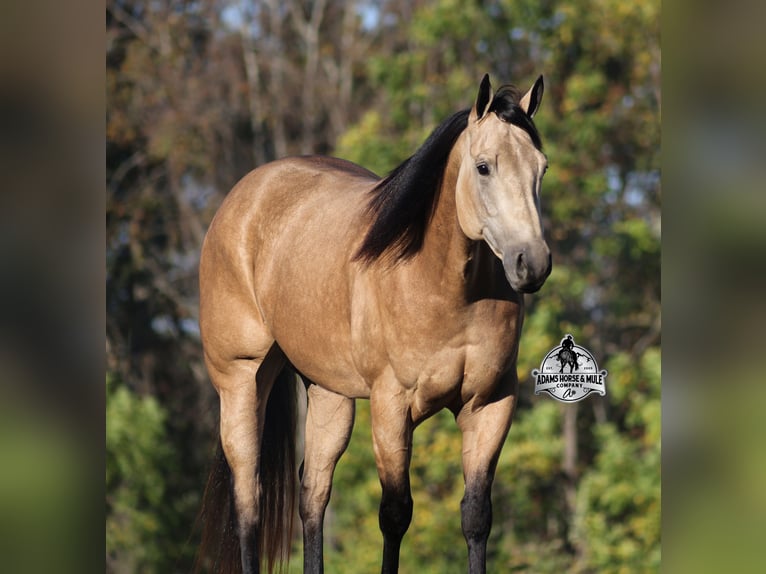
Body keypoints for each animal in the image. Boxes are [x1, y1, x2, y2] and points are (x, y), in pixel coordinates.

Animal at [195, 74, 551, 574]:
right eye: (483, 167)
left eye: (542, 167)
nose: (531, 263)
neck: (440, 283)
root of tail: (243, 197)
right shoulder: (391, 406)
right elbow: (395, 514)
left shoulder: (490, 404)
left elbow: (477, 516)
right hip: (241, 379)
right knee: (249, 498)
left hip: (329, 394)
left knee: (313, 494)